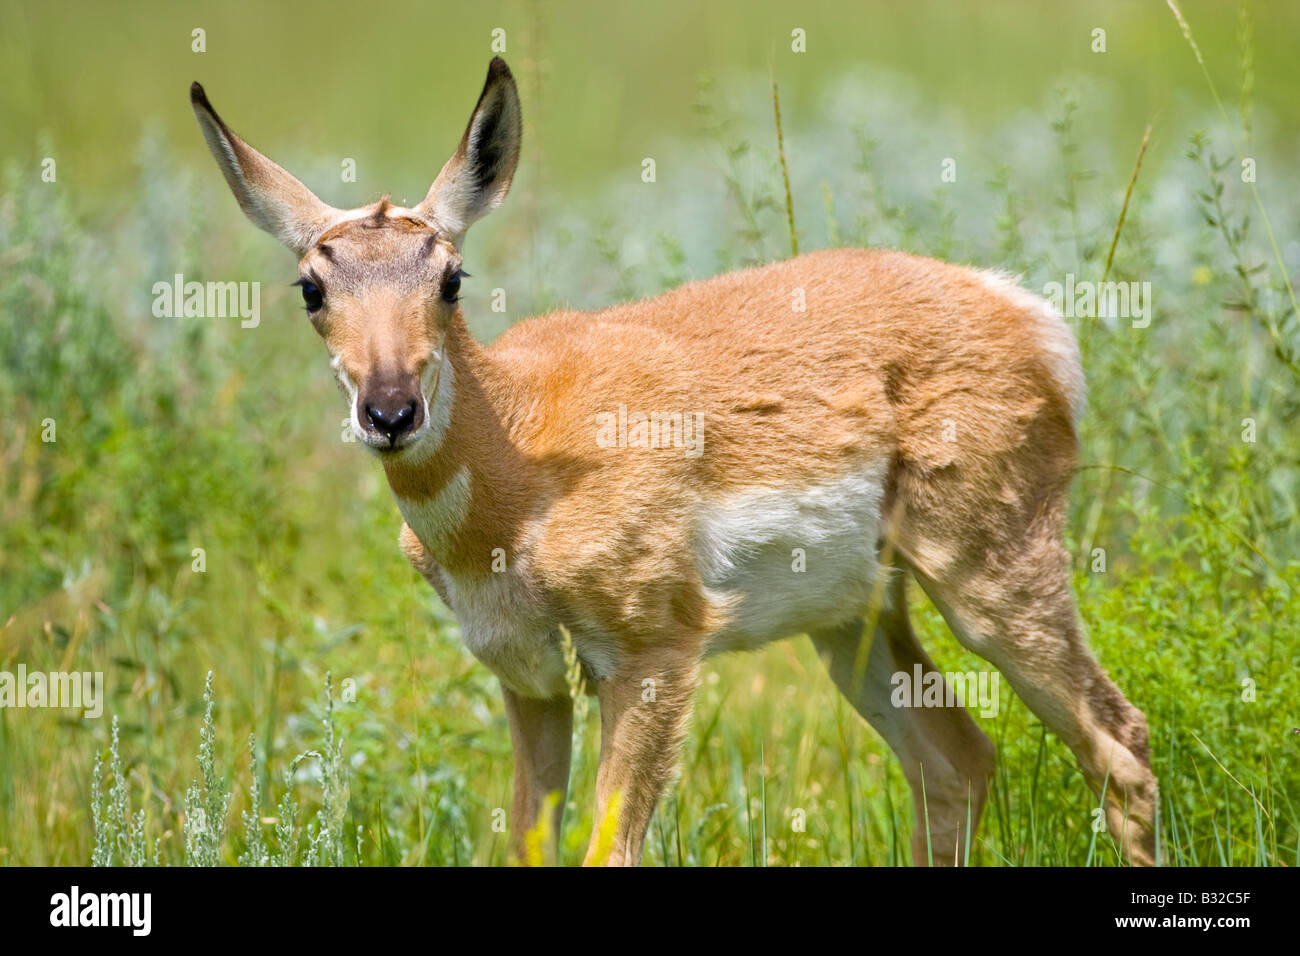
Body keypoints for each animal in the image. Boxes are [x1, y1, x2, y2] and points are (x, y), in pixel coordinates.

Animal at [192, 59, 1159, 868]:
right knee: (958, 760)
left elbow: (609, 851)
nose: (391, 412)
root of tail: (1023, 309)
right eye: (312, 287)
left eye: (451, 278)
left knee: (1121, 745)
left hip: (989, 585)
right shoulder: (528, 677)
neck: (523, 460)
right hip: (853, 622)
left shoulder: (653, 657)